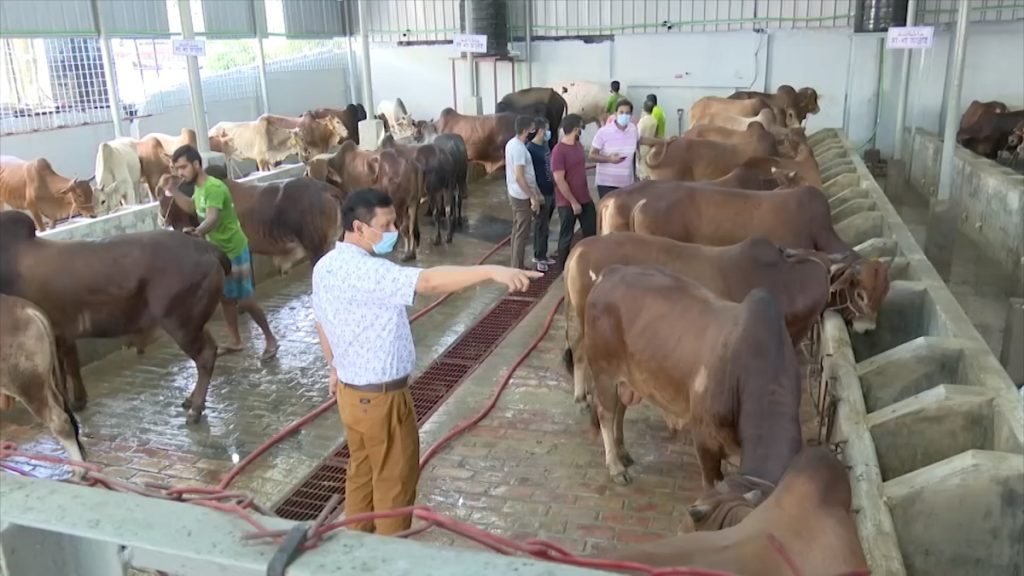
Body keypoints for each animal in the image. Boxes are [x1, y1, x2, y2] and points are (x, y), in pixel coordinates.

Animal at [0, 210, 229, 424]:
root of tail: (207, 248)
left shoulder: (52, 335)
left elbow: (60, 379)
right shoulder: (65, 333)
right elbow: (73, 366)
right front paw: (78, 402)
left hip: (180, 323)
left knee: (205, 356)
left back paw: (195, 409)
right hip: (194, 322)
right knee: (211, 349)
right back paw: (191, 400)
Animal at [581, 265, 802, 526]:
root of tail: (611, 272)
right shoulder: (705, 438)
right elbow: (711, 482)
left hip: (628, 380)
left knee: (620, 411)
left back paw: (623, 453)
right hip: (604, 372)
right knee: (606, 414)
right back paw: (616, 467)